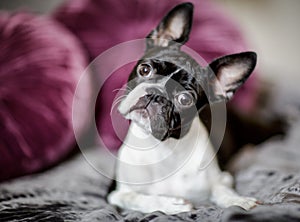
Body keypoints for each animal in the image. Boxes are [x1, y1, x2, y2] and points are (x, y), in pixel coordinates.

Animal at [108, 1, 258, 213]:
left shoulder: (223, 178)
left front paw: (237, 200)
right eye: (145, 69)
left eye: (185, 99)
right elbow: (136, 198)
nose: (156, 94)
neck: (161, 148)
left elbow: (222, 190)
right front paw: (169, 204)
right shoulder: (115, 194)